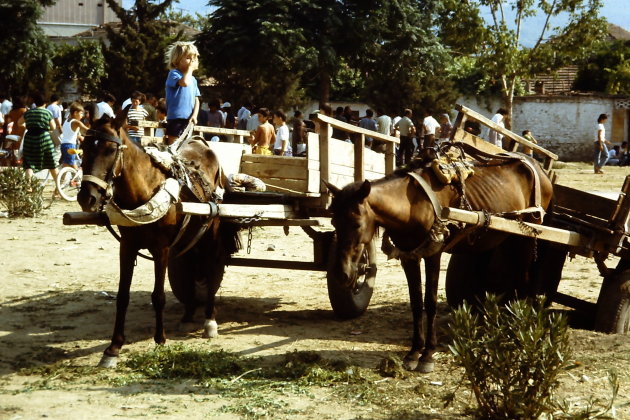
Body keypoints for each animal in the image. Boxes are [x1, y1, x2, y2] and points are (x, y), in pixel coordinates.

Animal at [77, 110, 239, 366]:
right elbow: (122, 297)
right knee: (190, 265)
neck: (143, 193)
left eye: (110, 150)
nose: (87, 198)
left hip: (211, 229)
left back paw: (209, 320)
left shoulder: (161, 249)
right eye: (84, 147)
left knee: (211, 269)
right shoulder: (127, 247)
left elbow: (158, 296)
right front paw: (113, 348)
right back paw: (188, 314)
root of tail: (203, 144)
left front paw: (160, 339)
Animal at [328, 149, 556, 372]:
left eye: (357, 224)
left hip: (525, 236)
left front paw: (428, 354)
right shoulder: (408, 256)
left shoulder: (433, 254)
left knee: (524, 279)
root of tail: (539, 169)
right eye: (333, 222)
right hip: (504, 236)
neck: (411, 205)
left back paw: (521, 327)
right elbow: (416, 303)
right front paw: (414, 352)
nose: (342, 274)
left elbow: (430, 302)